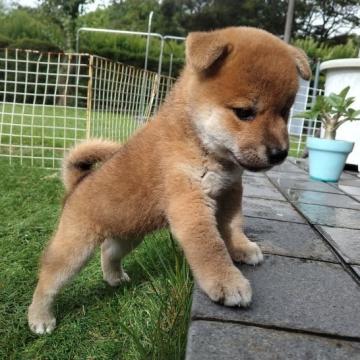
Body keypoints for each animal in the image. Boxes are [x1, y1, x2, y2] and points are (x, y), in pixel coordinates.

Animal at [28, 26, 310, 334]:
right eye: (244, 112)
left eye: (285, 112)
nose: (280, 153)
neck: (197, 140)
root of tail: (78, 185)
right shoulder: (189, 202)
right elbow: (210, 246)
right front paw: (228, 281)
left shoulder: (230, 192)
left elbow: (234, 225)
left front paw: (241, 248)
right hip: (74, 247)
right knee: (48, 279)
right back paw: (40, 318)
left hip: (128, 234)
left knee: (109, 252)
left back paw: (114, 278)